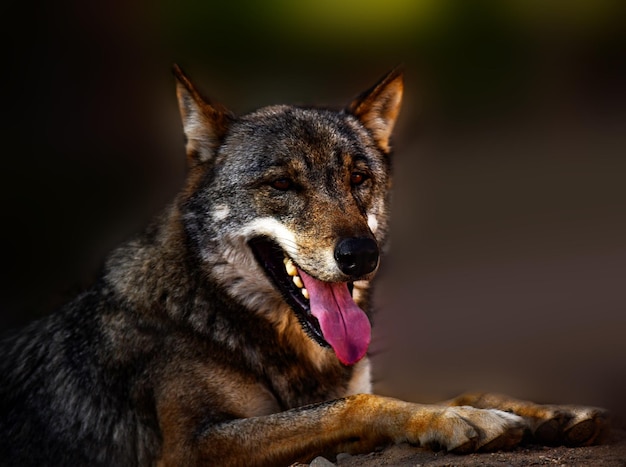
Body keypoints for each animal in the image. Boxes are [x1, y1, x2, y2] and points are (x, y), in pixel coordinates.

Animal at [0, 64, 604, 466]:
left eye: (358, 179)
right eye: (282, 185)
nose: (362, 255)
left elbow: (441, 387)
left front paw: (543, 411)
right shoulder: (191, 446)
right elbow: (357, 404)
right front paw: (455, 421)